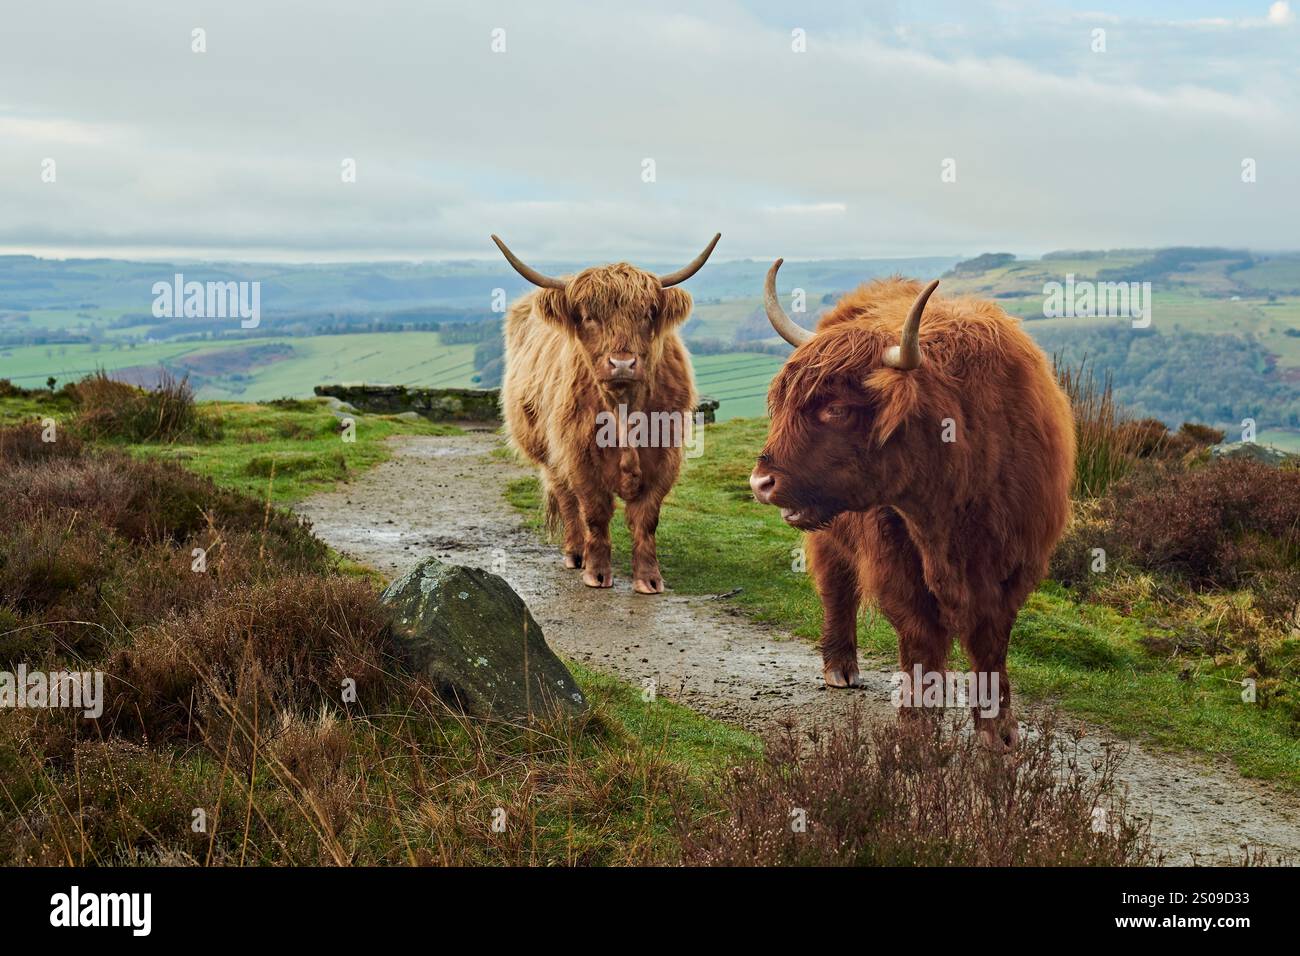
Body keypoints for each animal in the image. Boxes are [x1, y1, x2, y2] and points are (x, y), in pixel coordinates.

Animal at [493, 234, 718, 594]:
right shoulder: (579, 456)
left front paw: (649, 579)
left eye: (648, 313)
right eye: (588, 316)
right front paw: (597, 573)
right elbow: (595, 513)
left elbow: (647, 518)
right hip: (549, 456)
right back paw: (575, 554)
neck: (623, 409)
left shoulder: (665, 456)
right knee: (567, 500)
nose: (622, 364)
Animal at [749, 261, 1075, 748]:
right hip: (831, 538)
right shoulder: (895, 562)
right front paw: (918, 723)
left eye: (837, 409)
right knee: (836, 589)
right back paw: (840, 667)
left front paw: (998, 729)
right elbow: (920, 637)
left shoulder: (1015, 565)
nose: (761, 482)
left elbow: (991, 640)